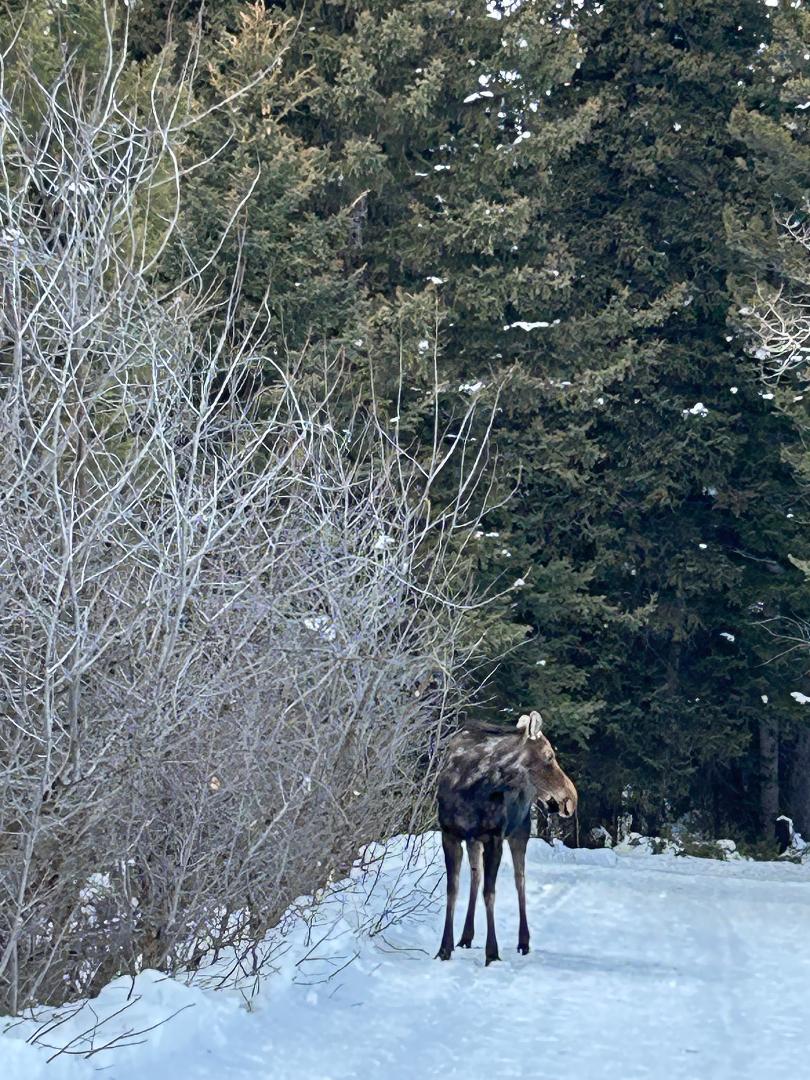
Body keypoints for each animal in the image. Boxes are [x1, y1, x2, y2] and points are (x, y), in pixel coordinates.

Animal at [438, 712, 578, 967]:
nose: (571, 798)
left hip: (519, 831)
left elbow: (490, 893)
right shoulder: (450, 834)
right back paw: (466, 936)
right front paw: (445, 948)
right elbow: (453, 889)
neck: (469, 787)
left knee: (519, 879)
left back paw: (524, 941)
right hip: (474, 840)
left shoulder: (495, 836)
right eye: (549, 755)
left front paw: (491, 953)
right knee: (476, 876)